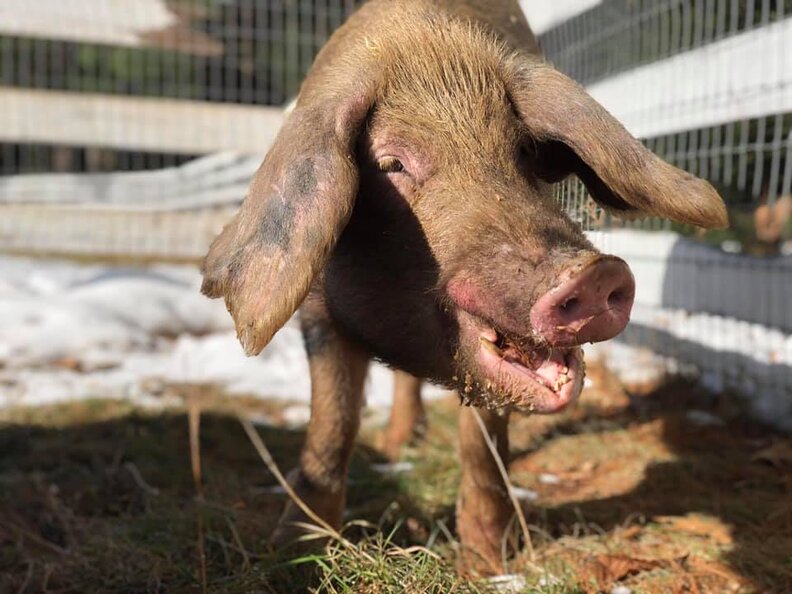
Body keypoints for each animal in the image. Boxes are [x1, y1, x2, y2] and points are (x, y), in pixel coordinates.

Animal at [201, 0, 727, 572]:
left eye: (525, 153)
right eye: (391, 163)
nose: (593, 272)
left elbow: (484, 449)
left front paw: (488, 567)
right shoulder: (318, 313)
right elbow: (331, 427)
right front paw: (294, 551)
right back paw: (398, 447)